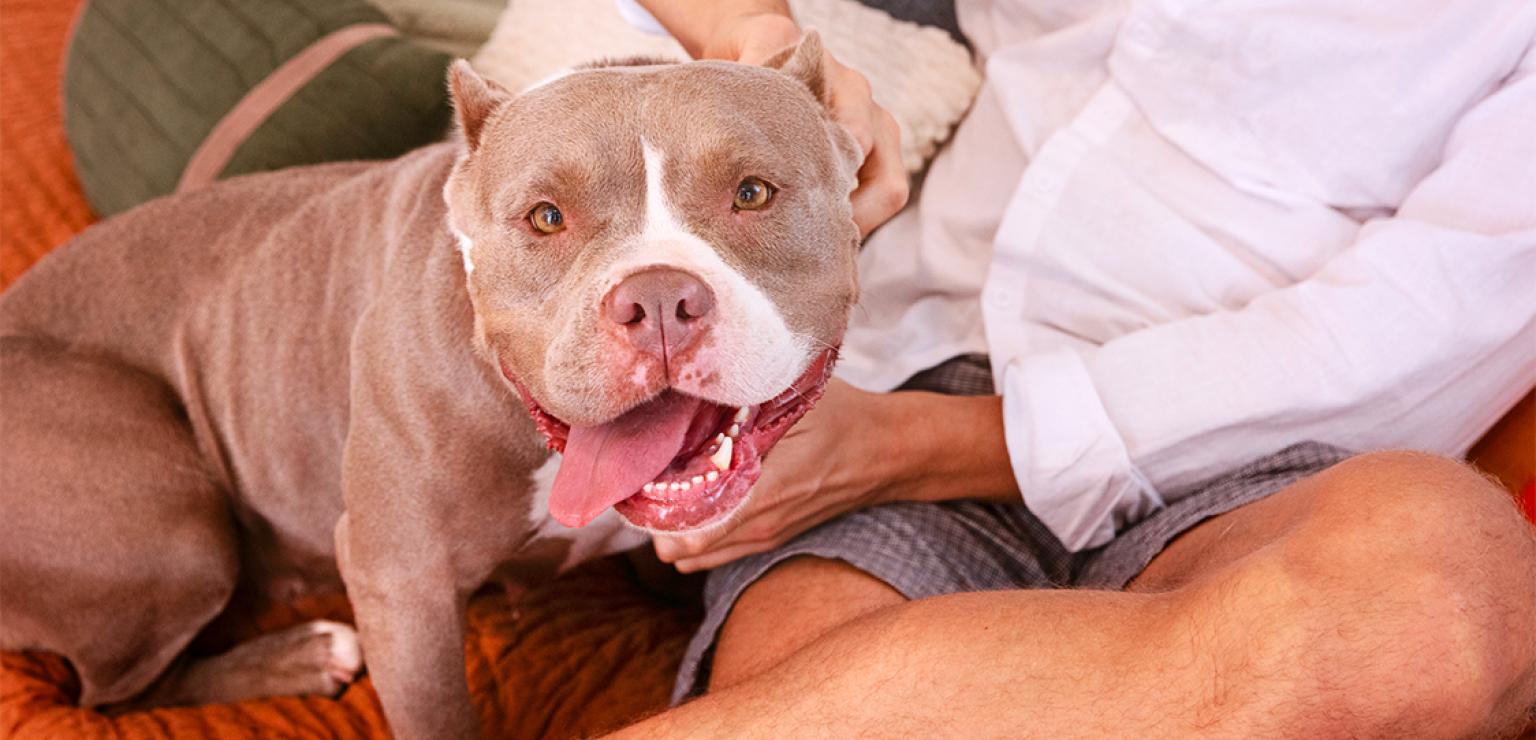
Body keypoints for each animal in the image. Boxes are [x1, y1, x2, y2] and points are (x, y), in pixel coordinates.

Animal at [0, 36, 866, 740]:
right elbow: (439, 712)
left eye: (752, 192)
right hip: (163, 513)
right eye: (545, 217)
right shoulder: (401, 580)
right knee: (111, 695)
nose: (656, 300)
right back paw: (300, 656)